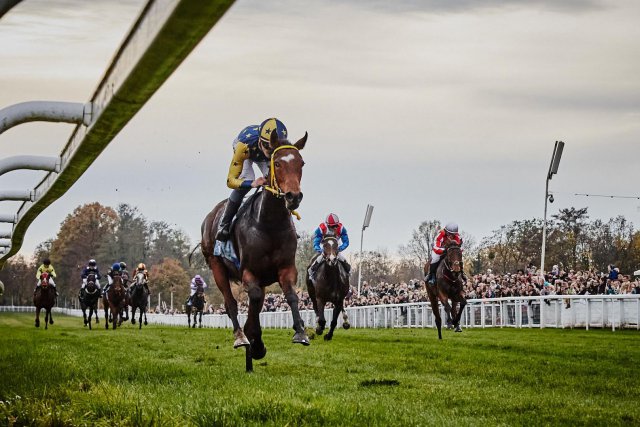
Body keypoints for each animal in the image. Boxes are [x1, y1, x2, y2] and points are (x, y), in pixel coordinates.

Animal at [200, 129, 310, 370]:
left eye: (301, 163)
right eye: (277, 163)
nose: (293, 196)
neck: (269, 224)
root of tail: (211, 216)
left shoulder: (286, 268)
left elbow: (290, 296)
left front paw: (300, 332)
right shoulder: (249, 272)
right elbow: (254, 300)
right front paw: (255, 341)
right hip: (215, 265)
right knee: (230, 303)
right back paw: (241, 337)